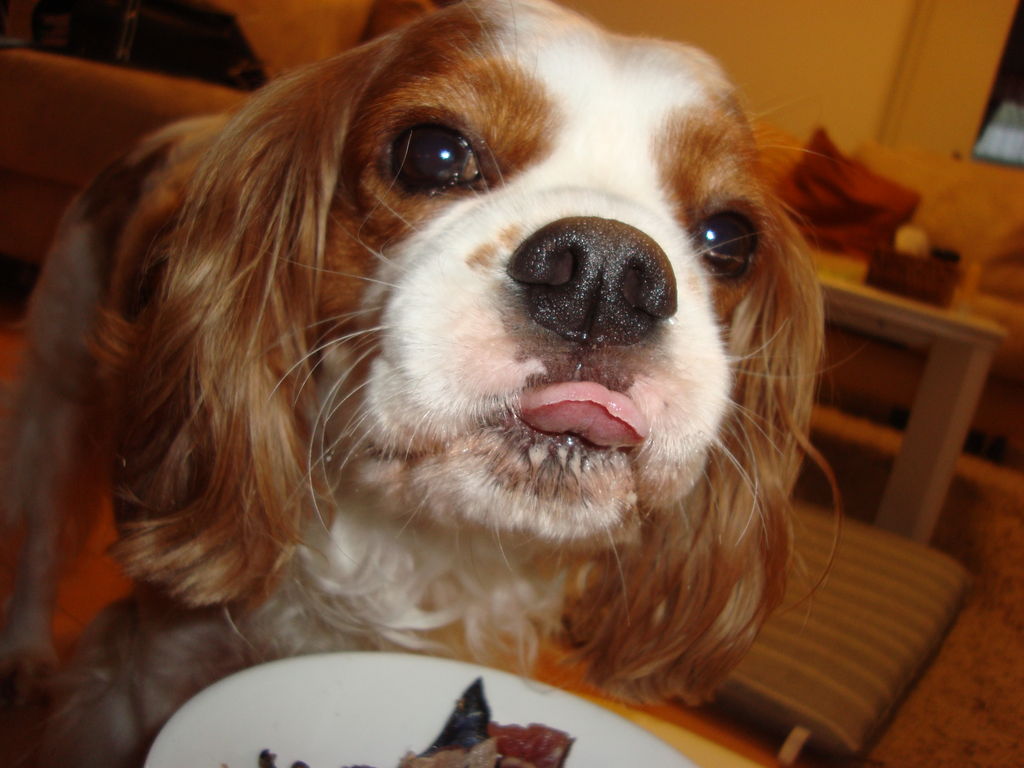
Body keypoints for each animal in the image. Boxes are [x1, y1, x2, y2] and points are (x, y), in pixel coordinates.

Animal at [0, 0, 822, 764]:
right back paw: (25, 653)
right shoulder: (144, 671)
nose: (606, 274)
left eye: (730, 238)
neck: (405, 541)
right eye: (433, 151)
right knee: (43, 532)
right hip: (59, 378)